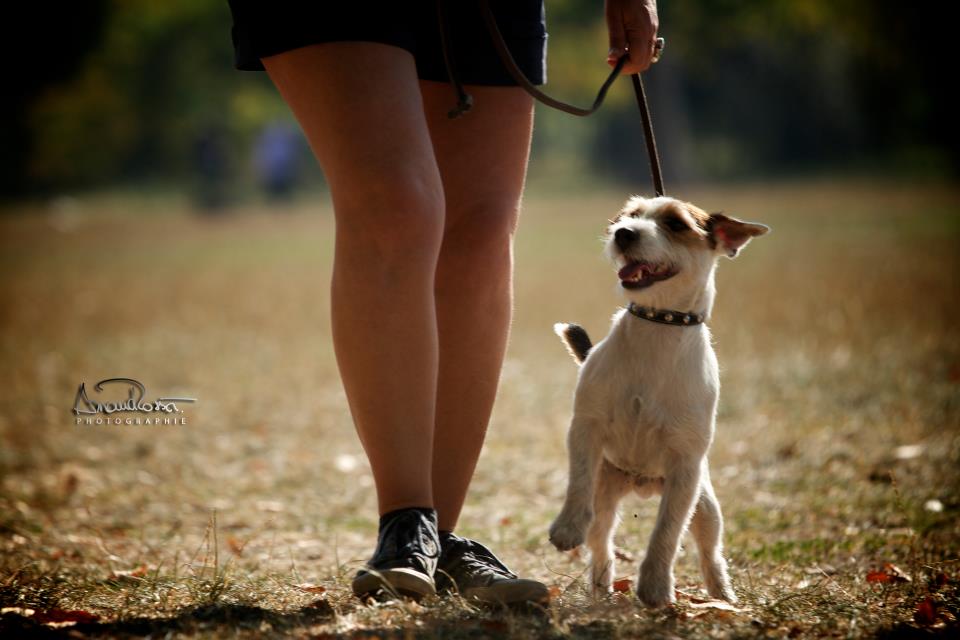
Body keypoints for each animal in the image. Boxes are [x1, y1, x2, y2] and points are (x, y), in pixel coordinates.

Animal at [548, 194, 764, 604]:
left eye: (677, 224)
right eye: (628, 215)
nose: (623, 233)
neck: (658, 325)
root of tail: (641, 483)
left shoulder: (685, 466)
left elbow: (667, 531)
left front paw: (655, 587)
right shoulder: (585, 426)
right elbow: (578, 480)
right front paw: (567, 526)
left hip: (706, 506)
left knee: (709, 551)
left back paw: (723, 596)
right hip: (606, 493)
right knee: (601, 542)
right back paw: (601, 589)